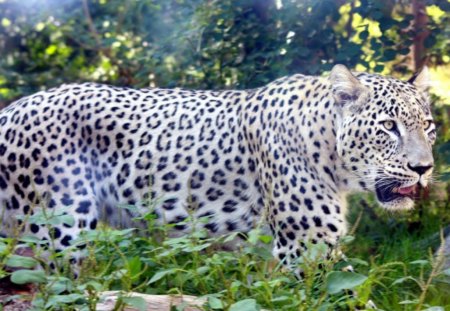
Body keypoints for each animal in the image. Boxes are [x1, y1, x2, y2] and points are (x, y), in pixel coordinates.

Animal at [0, 64, 436, 272]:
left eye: (428, 126)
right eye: (389, 127)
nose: (423, 168)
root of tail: (12, 108)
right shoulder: (306, 246)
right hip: (60, 232)